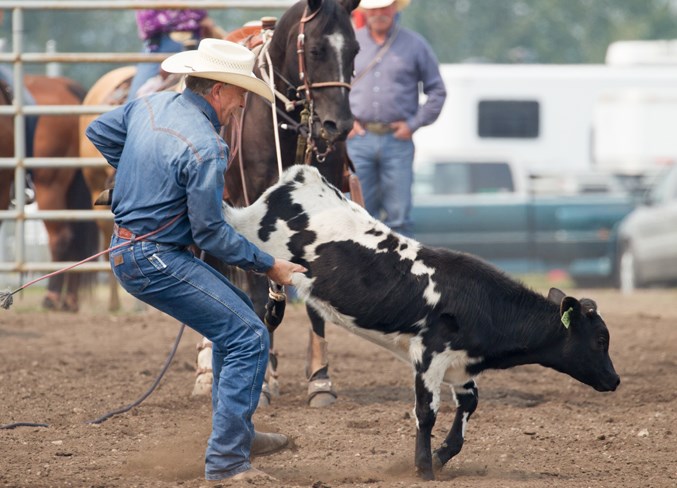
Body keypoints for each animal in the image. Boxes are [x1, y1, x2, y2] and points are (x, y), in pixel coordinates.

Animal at [224, 165, 620, 480]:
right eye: (600, 340)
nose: (614, 380)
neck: (483, 303)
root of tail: (300, 177)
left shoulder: (461, 366)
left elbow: (469, 404)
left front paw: (443, 455)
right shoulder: (429, 356)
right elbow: (426, 412)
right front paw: (424, 468)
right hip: (245, 226)